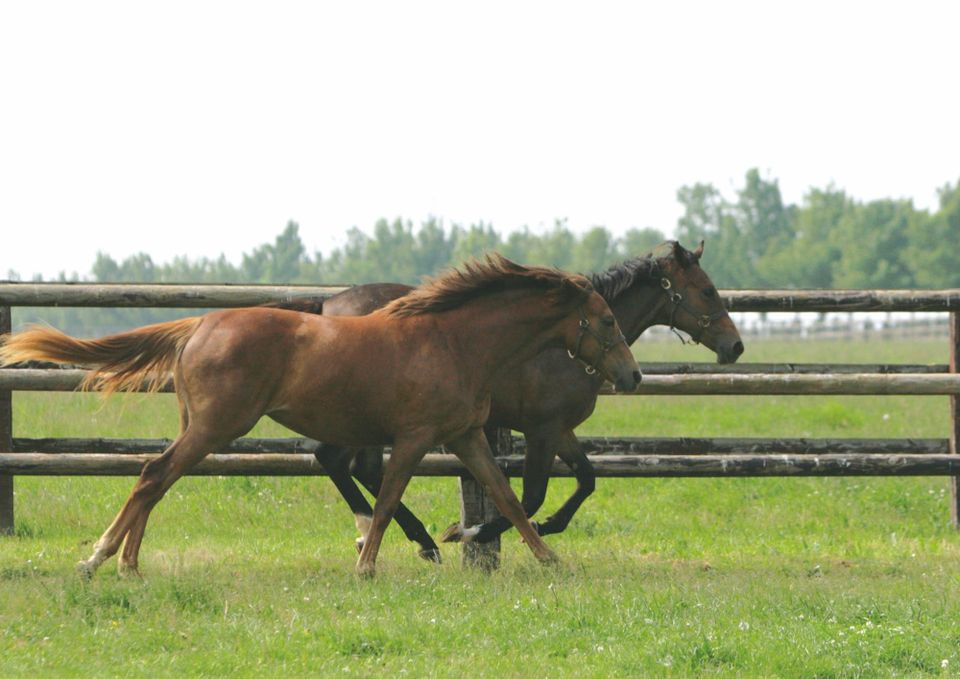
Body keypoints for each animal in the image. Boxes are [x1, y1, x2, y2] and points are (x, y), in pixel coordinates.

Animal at [0, 254, 641, 578]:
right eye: (608, 320)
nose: (632, 376)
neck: (454, 341)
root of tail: (200, 324)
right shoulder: (413, 437)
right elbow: (387, 497)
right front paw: (369, 566)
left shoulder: (464, 437)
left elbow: (506, 498)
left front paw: (551, 560)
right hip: (216, 427)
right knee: (155, 475)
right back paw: (101, 560)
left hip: (199, 426)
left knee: (156, 478)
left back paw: (126, 565)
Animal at [273, 240, 742, 559]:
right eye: (707, 291)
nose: (735, 346)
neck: (561, 345)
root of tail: (328, 306)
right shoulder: (541, 431)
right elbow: (530, 495)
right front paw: (472, 533)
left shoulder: (559, 431)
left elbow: (586, 479)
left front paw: (546, 527)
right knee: (341, 461)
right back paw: (404, 536)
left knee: (347, 465)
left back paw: (392, 534)